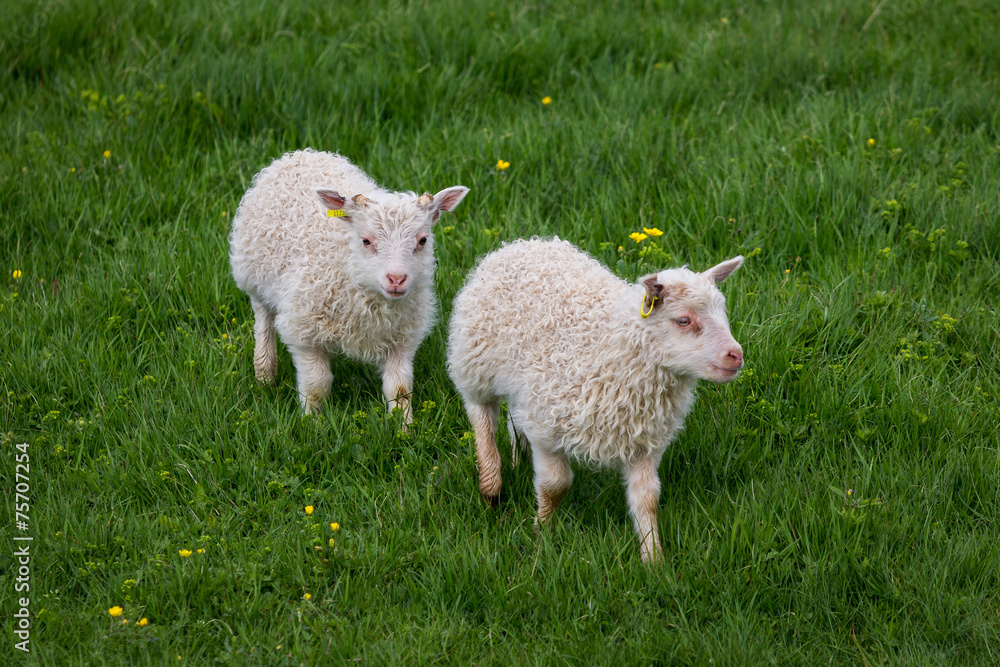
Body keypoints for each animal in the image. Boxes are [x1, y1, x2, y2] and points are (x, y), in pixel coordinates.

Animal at [230, 149, 468, 421]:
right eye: (366, 241)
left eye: (423, 240)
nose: (396, 279)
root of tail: (301, 154)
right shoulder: (304, 332)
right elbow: (316, 386)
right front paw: (312, 422)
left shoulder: (402, 338)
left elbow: (400, 389)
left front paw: (404, 426)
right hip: (253, 277)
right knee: (263, 321)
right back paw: (265, 377)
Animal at [447, 238, 744, 562]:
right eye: (683, 320)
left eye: (723, 312)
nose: (736, 355)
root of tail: (523, 244)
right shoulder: (547, 427)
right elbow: (555, 486)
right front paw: (541, 533)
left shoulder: (644, 441)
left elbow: (648, 498)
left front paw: (653, 559)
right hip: (474, 359)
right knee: (480, 412)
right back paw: (490, 483)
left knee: (514, 415)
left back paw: (517, 457)